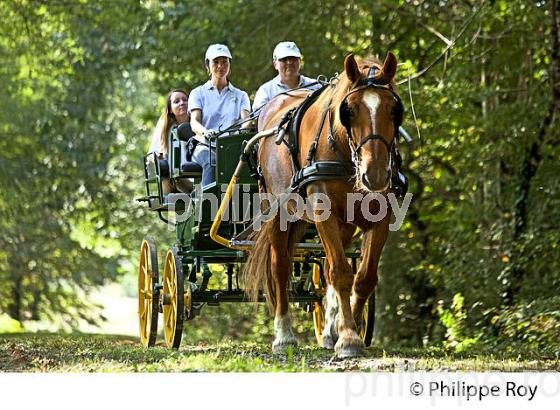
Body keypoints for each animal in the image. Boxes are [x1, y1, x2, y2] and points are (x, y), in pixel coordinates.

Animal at [245, 52, 402, 358]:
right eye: (349, 110)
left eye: (393, 110)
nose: (376, 174)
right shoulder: (323, 212)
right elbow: (341, 273)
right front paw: (349, 338)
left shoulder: (379, 217)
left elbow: (363, 277)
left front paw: (345, 329)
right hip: (278, 212)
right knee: (280, 267)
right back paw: (284, 336)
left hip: (343, 224)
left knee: (327, 268)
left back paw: (330, 329)